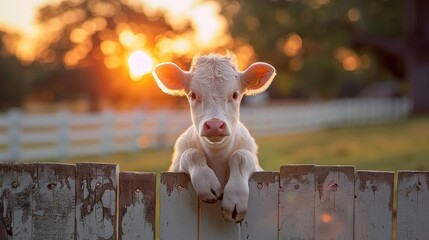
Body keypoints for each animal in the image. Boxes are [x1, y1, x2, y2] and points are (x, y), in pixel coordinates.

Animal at [152, 53, 276, 222]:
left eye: (235, 95)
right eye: (193, 95)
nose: (215, 125)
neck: (217, 156)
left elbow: (241, 156)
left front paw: (235, 196)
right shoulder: (176, 167)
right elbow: (191, 153)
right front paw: (206, 182)